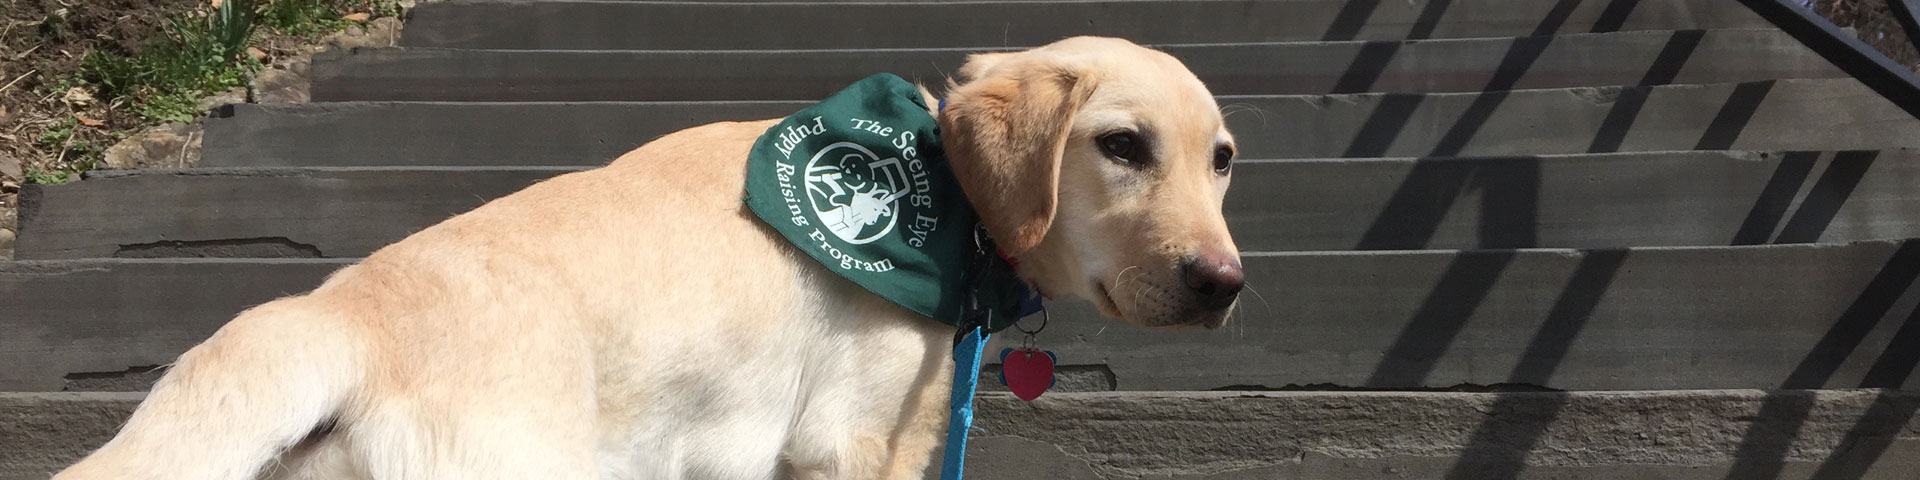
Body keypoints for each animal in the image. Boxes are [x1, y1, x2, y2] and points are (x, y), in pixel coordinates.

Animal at [52, 36, 1244, 480]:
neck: (937, 189)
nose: (1224, 284)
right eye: (1123, 147)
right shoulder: (857, 442)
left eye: (1224, 160)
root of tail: (338, 315)